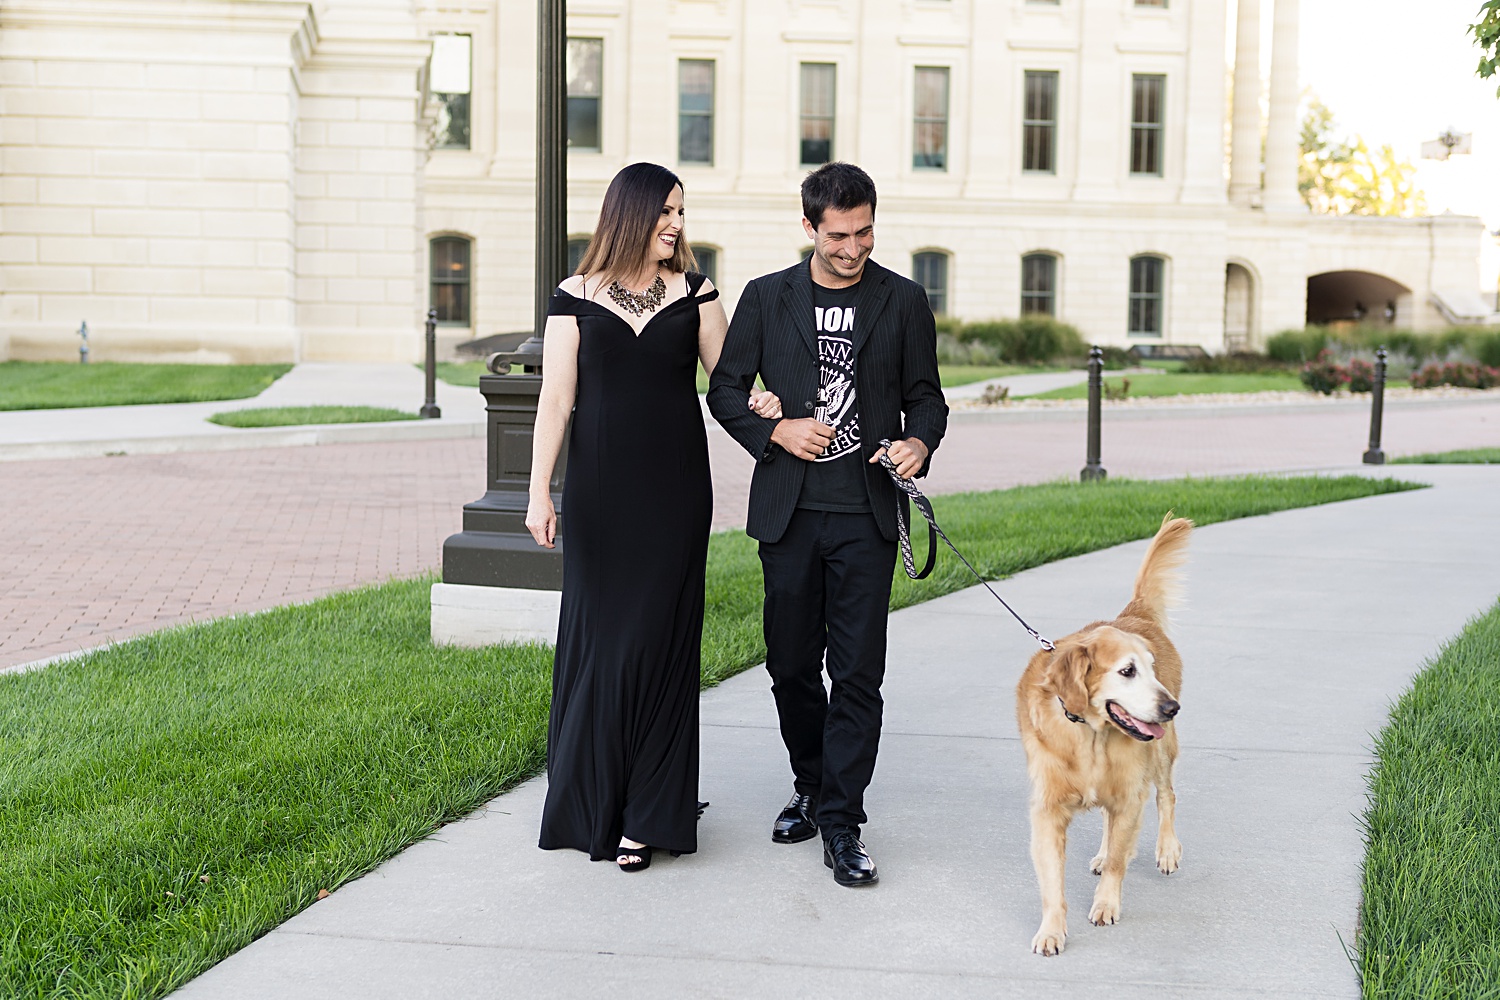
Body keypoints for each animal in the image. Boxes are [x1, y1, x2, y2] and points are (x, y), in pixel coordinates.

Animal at [1014, 512, 1188, 959]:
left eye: (1151, 669)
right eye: (1127, 671)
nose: (1171, 707)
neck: (1091, 735)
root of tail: (1135, 612)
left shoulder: (1129, 792)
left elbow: (1118, 860)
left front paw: (1106, 904)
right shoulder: (1048, 809)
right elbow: (1052, 881)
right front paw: (1052, 930)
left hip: (1160, 752)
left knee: (1166, 795)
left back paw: (1166, 850)